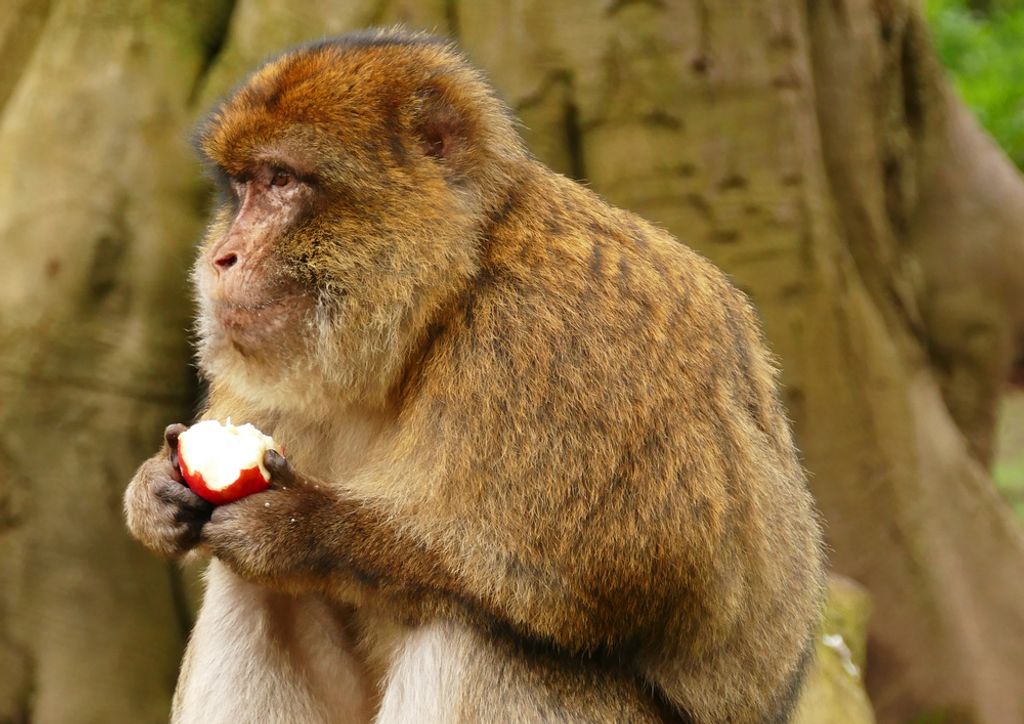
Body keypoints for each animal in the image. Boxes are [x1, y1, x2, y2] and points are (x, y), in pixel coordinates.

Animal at [124, 28, 826, 724]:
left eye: (281, 179)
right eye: (242, 188)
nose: (222, 256)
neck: (446, 297)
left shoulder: (557, 338)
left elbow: (625, 567)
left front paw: (299, 529)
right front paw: (153, 491)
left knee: (474, 636)